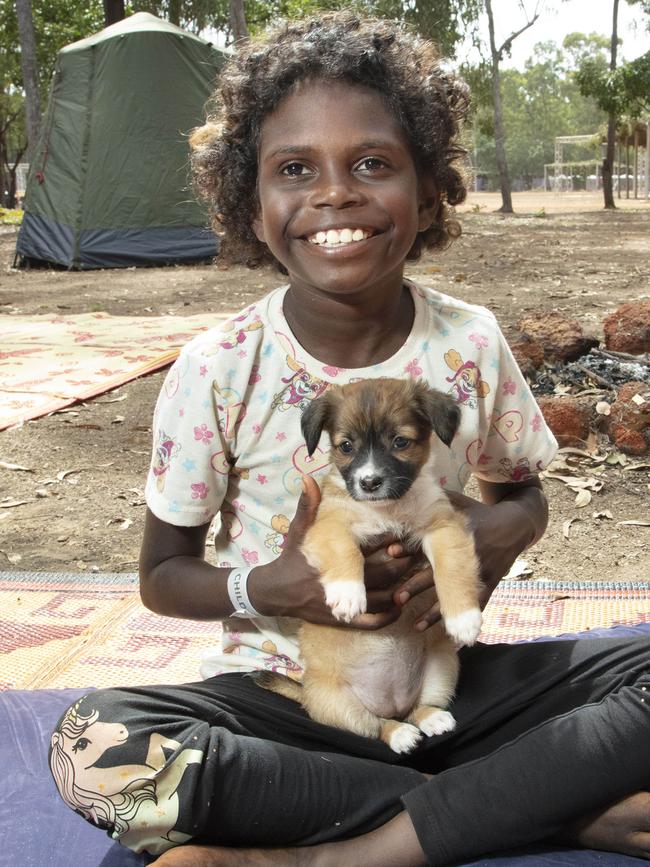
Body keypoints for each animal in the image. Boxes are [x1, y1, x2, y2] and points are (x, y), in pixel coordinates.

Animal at [260, 378, 480, 752]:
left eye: (400, 442)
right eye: (346, 446)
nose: (369, 482)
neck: (386, 509)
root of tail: (392, 702)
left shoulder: (442, 527)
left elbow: (452, 569)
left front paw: (463, 619)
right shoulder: (328, 526)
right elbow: (344, 550)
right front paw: (348, 595)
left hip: (443, 668)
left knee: (416, 709)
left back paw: (430, 719)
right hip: (338, 706)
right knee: (375, 726)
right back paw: (400, 735)